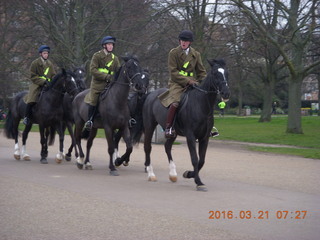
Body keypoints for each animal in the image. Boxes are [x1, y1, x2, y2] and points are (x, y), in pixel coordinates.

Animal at [132, 59, 230, 191]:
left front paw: (189, 174)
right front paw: (198, 181)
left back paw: (173, 174)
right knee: (148, 147)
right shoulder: (190, 136)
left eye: (227, 73)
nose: (226, 93)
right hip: (149, 126)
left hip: (172, 132)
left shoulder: (204, 138)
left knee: (167, 147)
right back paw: (151, 174)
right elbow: (195, 159)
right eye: (215, 74)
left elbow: (202, 160)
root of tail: (151, 94)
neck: (201, 105)